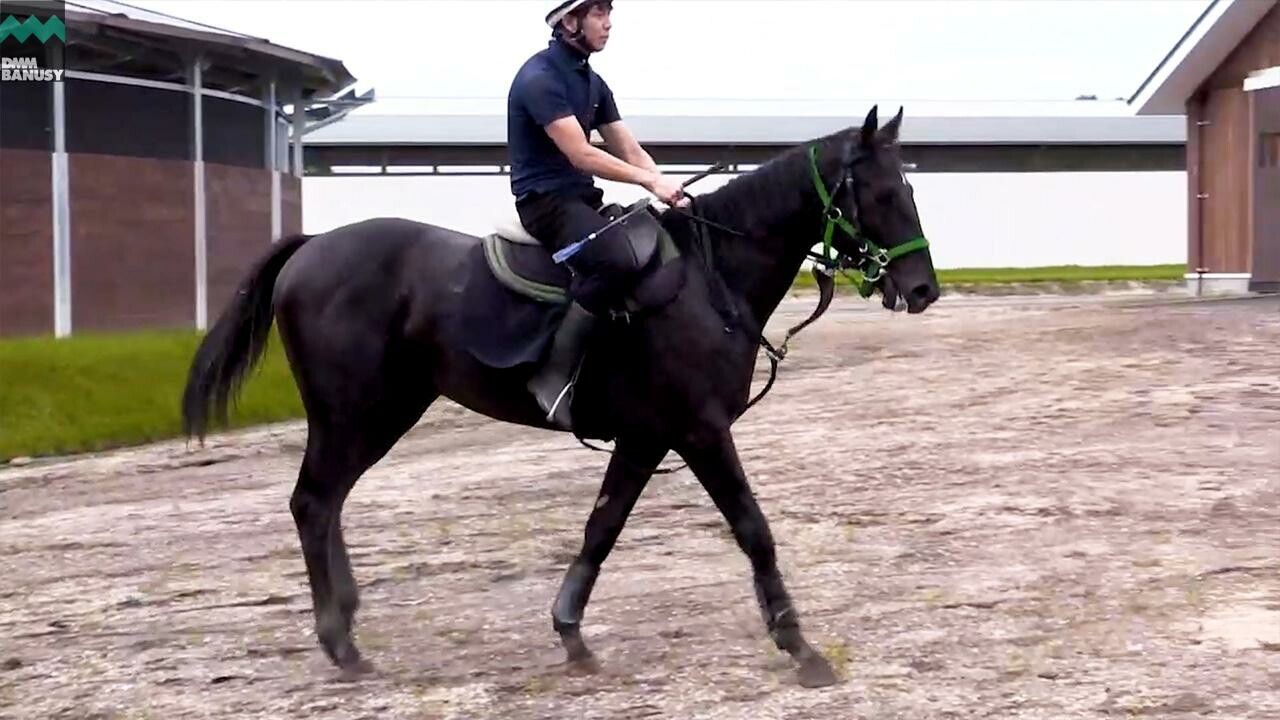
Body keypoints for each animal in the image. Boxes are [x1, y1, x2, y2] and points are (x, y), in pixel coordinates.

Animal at [180, 105, 942, 681]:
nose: (923, 289)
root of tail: (311, 246)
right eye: (881, 194)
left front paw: (571, 633)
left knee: (328, 501)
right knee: (313, 502)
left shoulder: (646, 437)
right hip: (354, 413)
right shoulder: (699, 430)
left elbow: (601, 528)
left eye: (909, 191)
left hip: (380, 412)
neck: (709, 276)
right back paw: (341, 642)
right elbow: (753, 528)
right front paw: (800, 646)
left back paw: (345, 617)